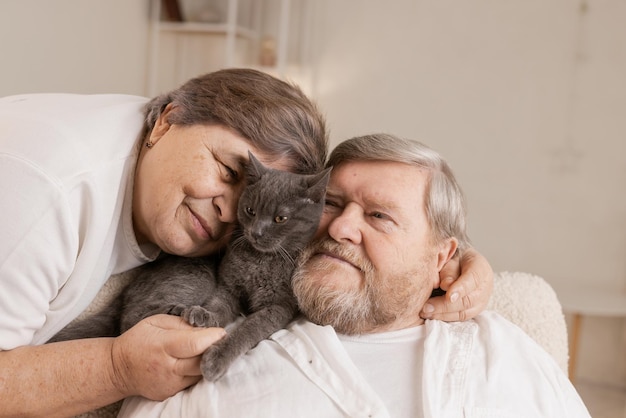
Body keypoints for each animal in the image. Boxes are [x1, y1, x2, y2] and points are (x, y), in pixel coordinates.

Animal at [49, 153, 332, 382]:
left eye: (280, 218)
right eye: (250, 210)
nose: (256, 232)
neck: (260, 261)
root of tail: (129, 287)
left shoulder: (279, 306)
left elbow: (251, 328)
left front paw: (217, 357)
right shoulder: (227, 286)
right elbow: (218, 305)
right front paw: (204, 315)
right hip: (197, 274)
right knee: (129, 320)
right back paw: (176, 309)